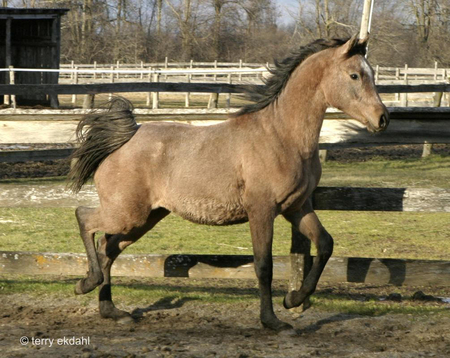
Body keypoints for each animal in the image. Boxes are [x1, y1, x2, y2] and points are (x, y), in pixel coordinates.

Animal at [68, 35, 388, 332]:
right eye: (355, 75)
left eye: (371, 72)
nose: (382, 118)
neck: (282, 136)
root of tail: (125, 138)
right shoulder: (262, 210)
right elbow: (264, 266)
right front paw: (272, 321)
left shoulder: (297, 207)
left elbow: (324, 244)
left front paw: (293, 300)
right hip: (127, 213)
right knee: (84, 219)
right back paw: (86, 284)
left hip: (145, 218)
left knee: (108, 247)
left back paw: (111, 311)